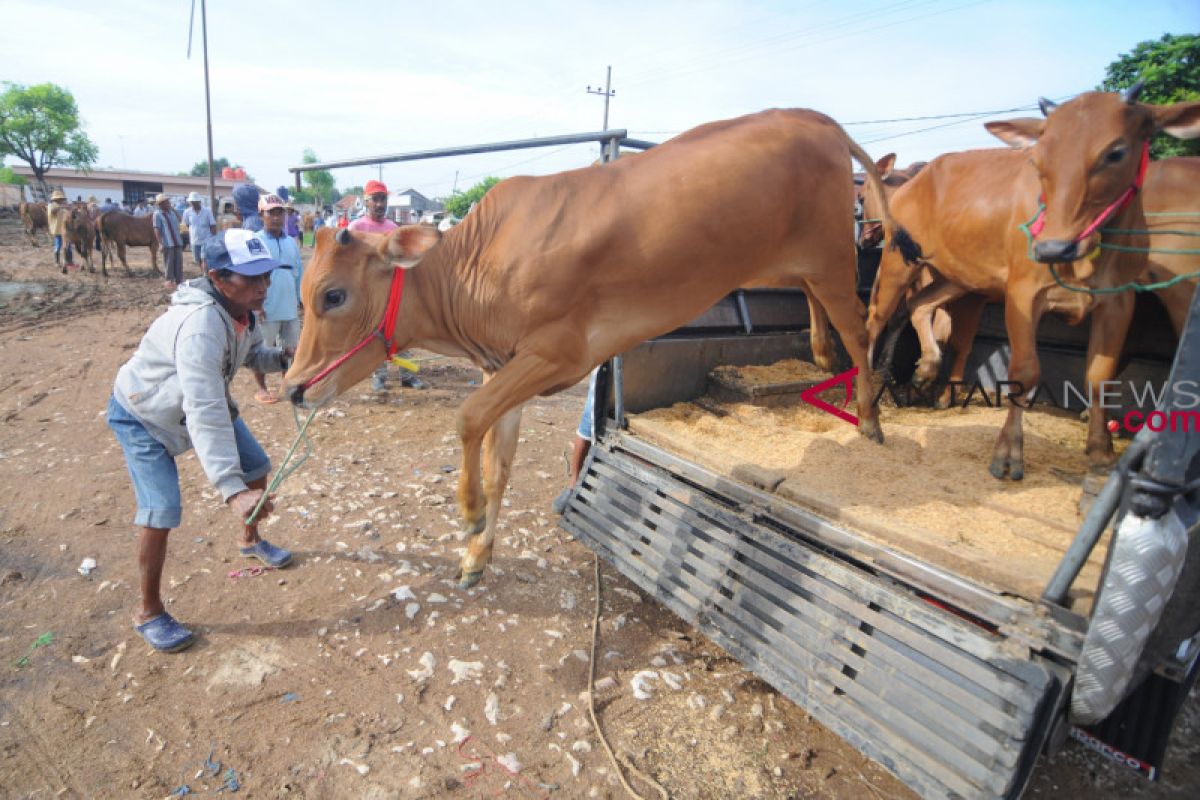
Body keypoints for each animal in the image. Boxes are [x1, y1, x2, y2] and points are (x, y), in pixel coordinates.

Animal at [280, 107, 916, 587]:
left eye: (333, 295)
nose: (292, 389)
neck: (476, 267)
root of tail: (812, 116)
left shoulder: (557, 355)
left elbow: (466, 419)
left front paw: (469, 514)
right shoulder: (504, 369)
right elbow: (497, 459)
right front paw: (477, 553)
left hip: (832, 255)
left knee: (861, 326)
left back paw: (869, 417)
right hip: (792, 261)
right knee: (818, 308)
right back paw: (822, 354)